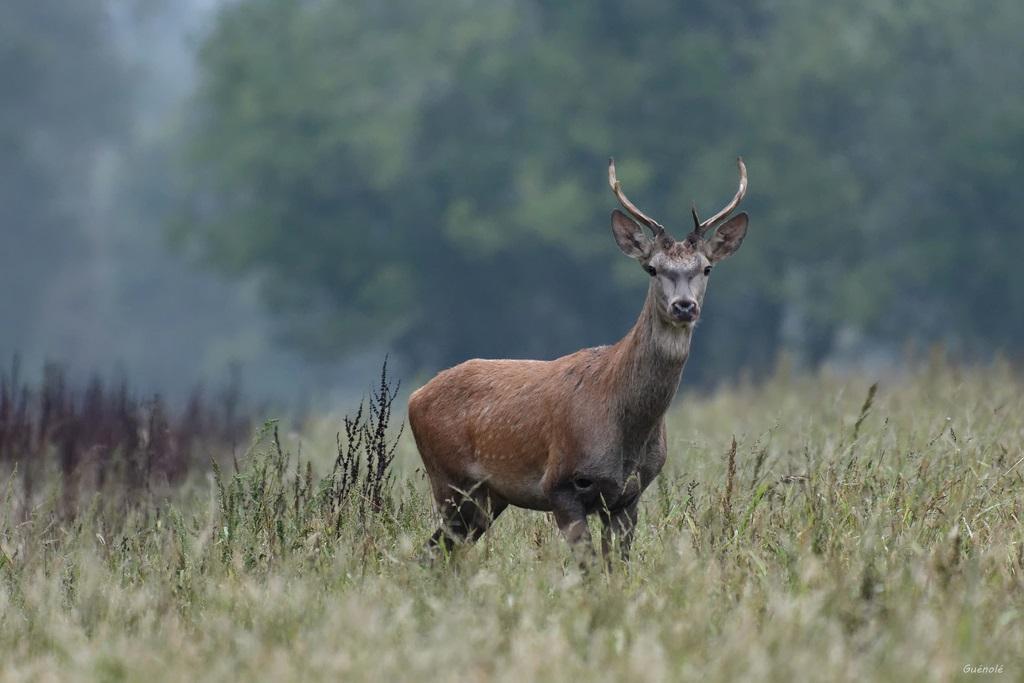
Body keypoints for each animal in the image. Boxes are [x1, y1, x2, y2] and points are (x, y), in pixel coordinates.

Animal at [407, 156, 753, 565]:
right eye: (652, 268)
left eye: (706, 268)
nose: (684, 306)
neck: (625, 429)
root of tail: (415, 397)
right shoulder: (560, 482)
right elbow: (589, 566)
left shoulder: (628, 496)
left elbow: (616, 566)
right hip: (449, 479)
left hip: (488, 498)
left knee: (439, 553)